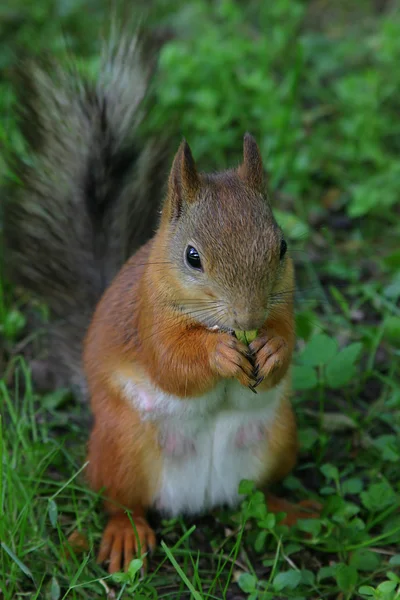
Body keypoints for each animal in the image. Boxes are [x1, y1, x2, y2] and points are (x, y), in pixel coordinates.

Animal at [2, 25, 316, 576]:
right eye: (193, 257)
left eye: (282, 247)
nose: (249, 317)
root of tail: (201, 495)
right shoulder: (147, 317)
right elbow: (171, 364)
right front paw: (219, 354)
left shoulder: (283, 305)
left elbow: (286, 339)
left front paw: (272, 347)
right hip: (121, 448)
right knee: (120, 501)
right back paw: (125, 534)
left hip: (279, 437)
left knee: (258, 494)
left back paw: (292, 510)